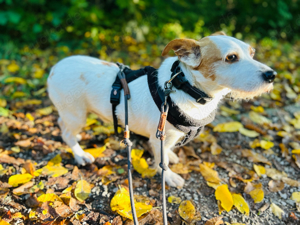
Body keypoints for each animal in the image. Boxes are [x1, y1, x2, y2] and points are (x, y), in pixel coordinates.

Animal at [47, 31, 276, 186]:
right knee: (66, 133)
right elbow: (161, 160)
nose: (272, 75)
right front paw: (169, 175)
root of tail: (54, 68)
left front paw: (171, 155)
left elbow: (166, 152)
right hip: (77, 115)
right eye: (231, 58)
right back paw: (80, 154)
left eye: (252, 53)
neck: (186, 88)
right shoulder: (160, 136)